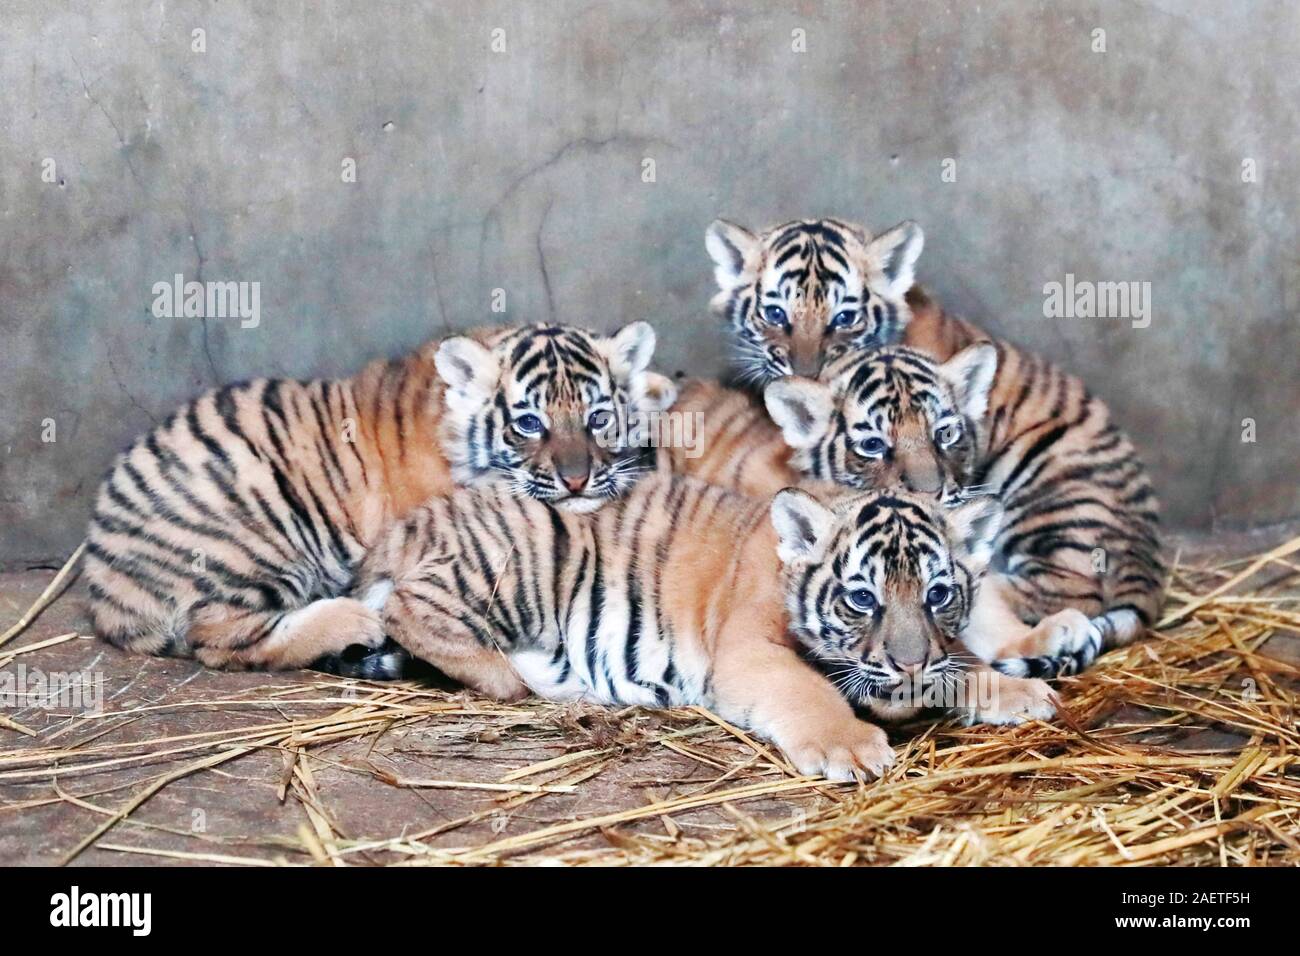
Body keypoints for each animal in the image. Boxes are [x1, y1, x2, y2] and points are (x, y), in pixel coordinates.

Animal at [83, 322, 676, 675]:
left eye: (598, 417)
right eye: (529, 423)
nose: (578, 480)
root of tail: (102, 586)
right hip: (261, 538)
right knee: (220, 637)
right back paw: (354, 620)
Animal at [353, 473, 1058, 780]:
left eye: (938, 594)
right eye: (861, 598)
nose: (909, 664)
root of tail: (410, 522)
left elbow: (962, 659)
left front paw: (1020, 690)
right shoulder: (747, 652)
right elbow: (809, 691)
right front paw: (849, 747)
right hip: (526, 557)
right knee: (407, 606)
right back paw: (523, 676)